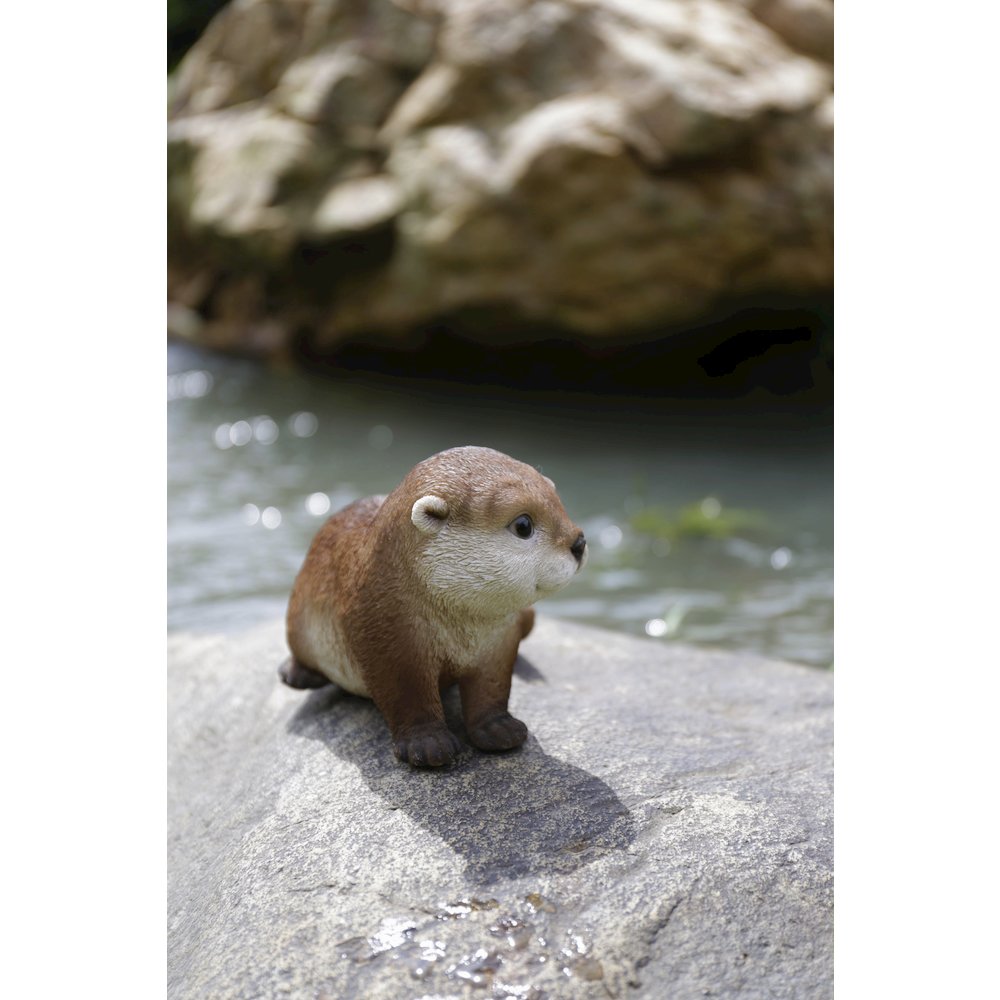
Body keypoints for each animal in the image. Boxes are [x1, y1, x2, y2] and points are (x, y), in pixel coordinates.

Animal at [279, 446, 587, 767]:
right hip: (299, 616)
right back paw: (297, 675)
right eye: (523, 525)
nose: (579, 543)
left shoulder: (499, 643)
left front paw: (499, 729)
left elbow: (492, 688)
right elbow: (407, 696)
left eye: (558, 503)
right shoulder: (388, 637)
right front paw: (428, 745)